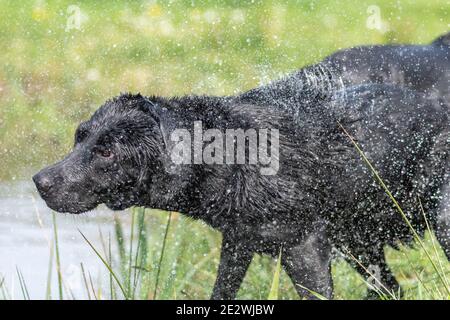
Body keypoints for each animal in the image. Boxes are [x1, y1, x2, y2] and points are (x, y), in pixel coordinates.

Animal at [34, 31, 450, 298]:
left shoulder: (305, 248)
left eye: (107, 152)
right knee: (389, 288)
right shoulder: (237, 244)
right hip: (358, 243)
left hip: (435, 221)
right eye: (79, 136)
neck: (232, 155)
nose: (40, 181)